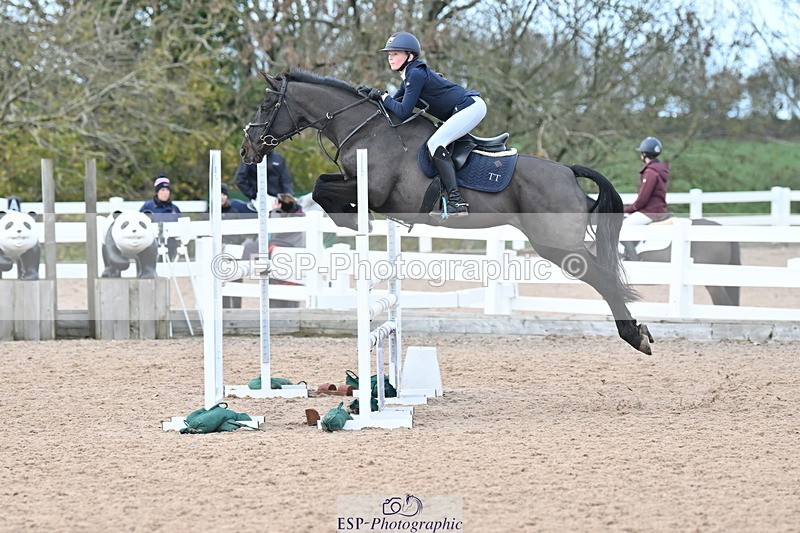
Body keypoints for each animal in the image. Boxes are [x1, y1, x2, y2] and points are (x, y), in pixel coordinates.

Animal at [240, 69, 654, 354]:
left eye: (265, 105)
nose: (247, 149)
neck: (365, 128)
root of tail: (568, 172)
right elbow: (323, 185)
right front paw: (350, 216)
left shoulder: (375, 191)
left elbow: (322, 188)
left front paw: (351, 217)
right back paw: (637, 332)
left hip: (558, 245)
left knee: (603, 278)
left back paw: (634, 335)